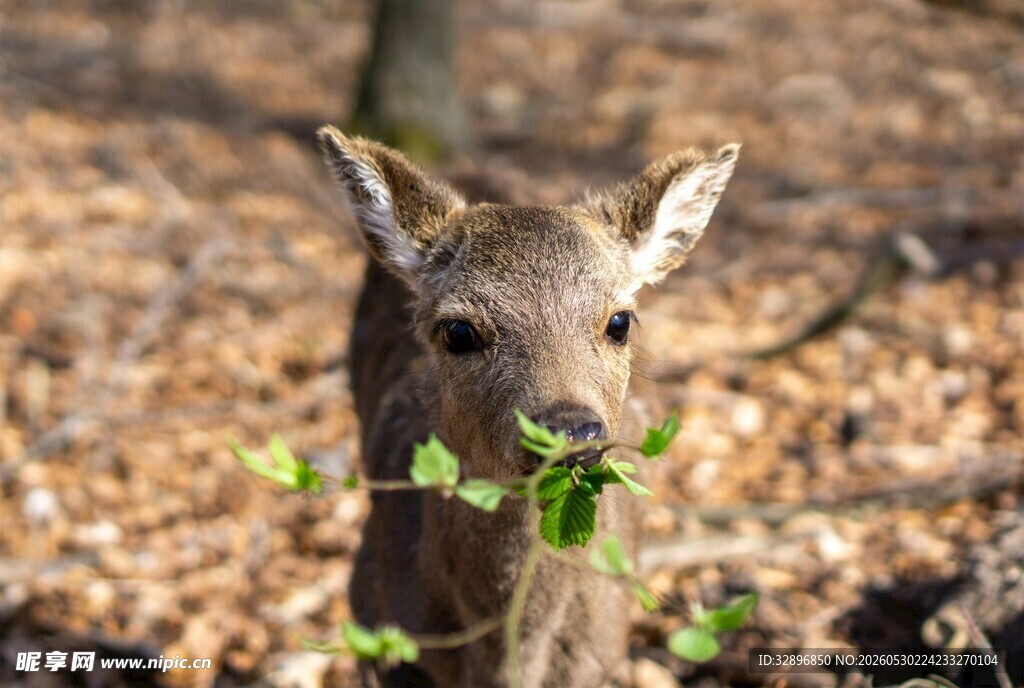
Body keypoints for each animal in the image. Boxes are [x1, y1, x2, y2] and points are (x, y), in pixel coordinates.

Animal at [318, 126, 739, 688]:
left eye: (620, 321)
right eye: (458, 330)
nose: (569, 429)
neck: (508, 659)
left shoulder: (603, 655)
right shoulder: (372, 618)